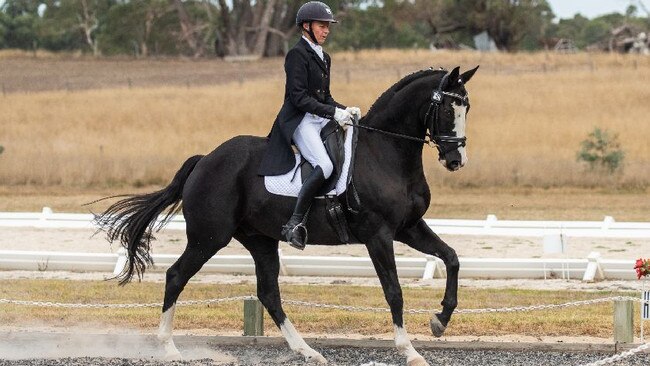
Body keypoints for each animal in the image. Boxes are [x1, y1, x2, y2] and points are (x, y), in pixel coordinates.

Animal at [98, 66, 478, 366]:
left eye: (467, 107)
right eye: (447, 108)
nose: (456, 160)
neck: (386, 153)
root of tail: (205, 159)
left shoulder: (408, 228)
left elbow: (452, 257)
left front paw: (440, 320)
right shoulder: (378, 235)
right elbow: (394, 290)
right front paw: (409, 350)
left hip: (260, 240)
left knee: (268, 293)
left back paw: (308, 351)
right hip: (209, 237)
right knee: (176, 276)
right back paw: (169, 349)